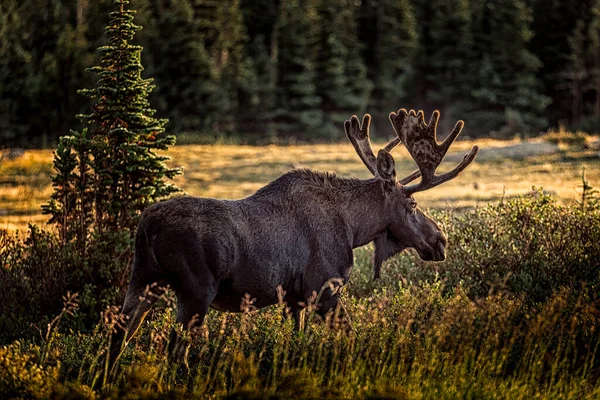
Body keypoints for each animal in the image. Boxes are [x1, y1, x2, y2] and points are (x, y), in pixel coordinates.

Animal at [110, 108, 480, 364]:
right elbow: (351, 336)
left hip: (142, 280)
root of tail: (146, 226)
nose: (440, 241)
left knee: (118, 334)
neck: (354, 228)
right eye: (412, 203)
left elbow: (294, 342)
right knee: (175, 351)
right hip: (194, 291)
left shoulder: (293, 297)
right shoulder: (323, 287)